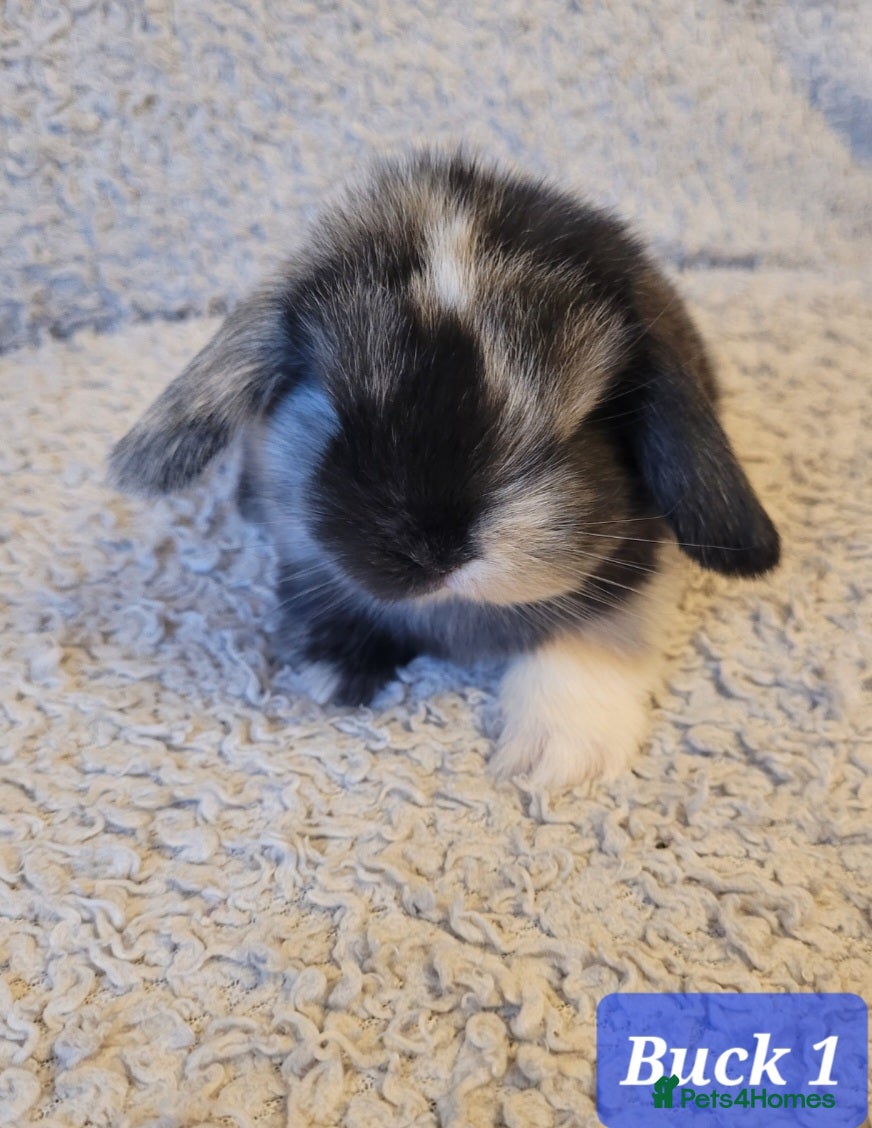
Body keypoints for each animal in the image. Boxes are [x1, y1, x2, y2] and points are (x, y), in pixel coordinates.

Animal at [109, 148, 780, 787]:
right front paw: (332, 672)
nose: (432, 550)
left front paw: (554, 761)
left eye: (583, 420)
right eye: (335, 401)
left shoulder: (635, 566)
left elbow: (595, 635)